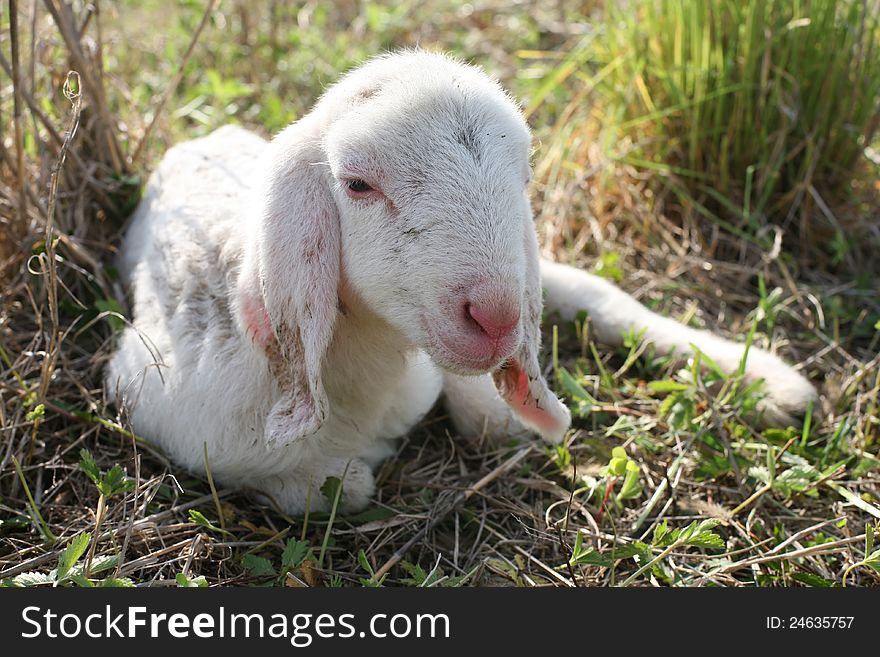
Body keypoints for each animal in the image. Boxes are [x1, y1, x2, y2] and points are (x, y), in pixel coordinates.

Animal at [108, 50, 820, 512]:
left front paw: (494, 409)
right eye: (357, 184)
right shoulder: (153, 397)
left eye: (526, 175)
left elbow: (486, 414)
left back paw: (774, 384)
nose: (498, 317)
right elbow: (337, 489)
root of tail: (205, 137)